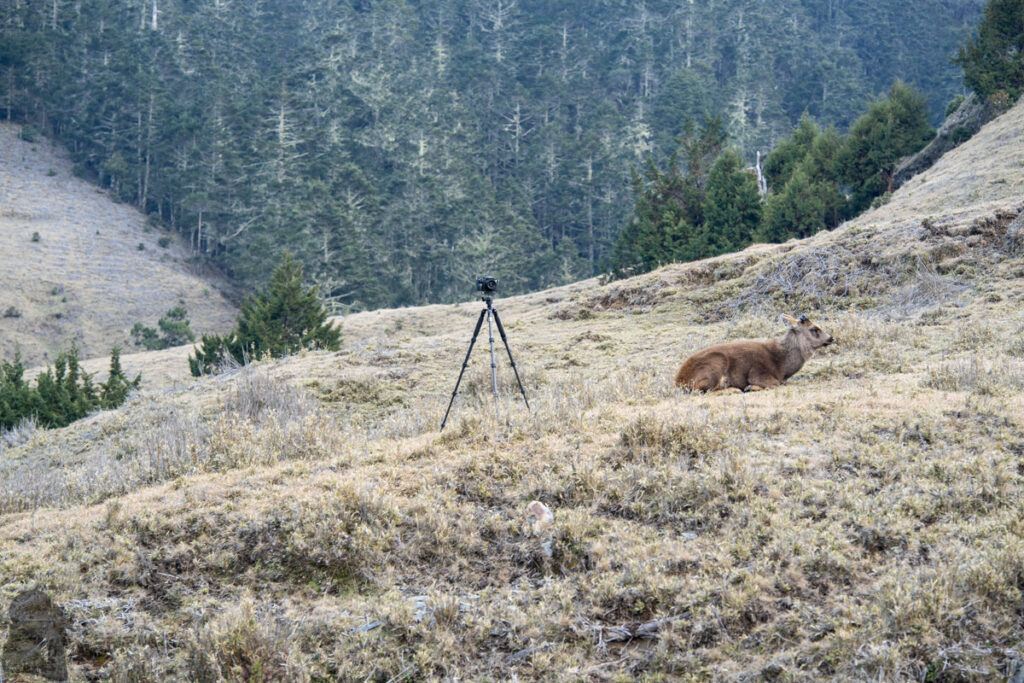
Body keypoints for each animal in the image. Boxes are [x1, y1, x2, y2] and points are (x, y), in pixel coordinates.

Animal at [674, 314, 834, 392]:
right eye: (814, 329)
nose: (831, 338)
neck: (782, 365)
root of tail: (679, 381)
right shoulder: (757, 372)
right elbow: (775, 383)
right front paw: (750, 387)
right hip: (715, 365)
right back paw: (735, 389)